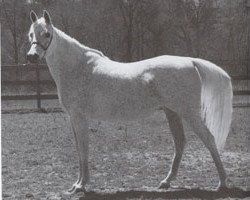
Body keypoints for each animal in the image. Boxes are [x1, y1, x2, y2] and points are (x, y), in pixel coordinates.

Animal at [26, 10, 232, 194]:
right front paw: (76, 184)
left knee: (209, 139)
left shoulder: (79, 118)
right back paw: (166, 182)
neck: (77, 68)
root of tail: (190, 61)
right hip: (172, 112)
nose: (32, 56)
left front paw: (81, 186)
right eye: (30, 34)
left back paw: (222, 183)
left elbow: (84, 151)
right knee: (180, 143)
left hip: (189, 113)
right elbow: (79, 151)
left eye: (47, 34)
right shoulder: (73, 119)